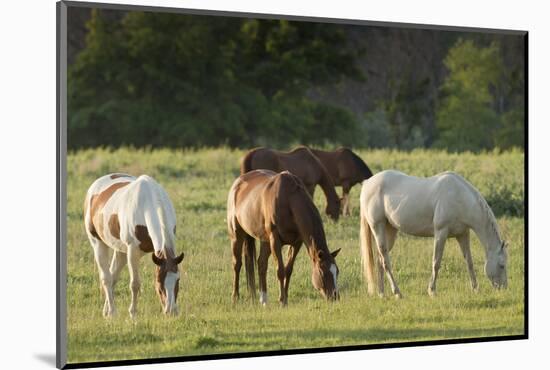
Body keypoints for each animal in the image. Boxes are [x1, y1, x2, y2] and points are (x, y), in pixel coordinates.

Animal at [83, 173, 184, 318]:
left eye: (178, 280)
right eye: (159, 283)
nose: (171, 311)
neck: (148, 203)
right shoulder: (133, 252)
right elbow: (135, 284)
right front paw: (133, 314)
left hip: (120, 251)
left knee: (113, 277)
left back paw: (106, 311)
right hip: (98, 243)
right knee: (106, 278)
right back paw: (112, 312)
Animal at [227, 169, 340, 304]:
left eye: (337, 272)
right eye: (322, 273)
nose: (335, 296)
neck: (289, 201)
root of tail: (237, 183)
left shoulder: (297, 243)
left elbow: (288, 270)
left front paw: (285, 298)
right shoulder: (275, 240)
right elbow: (280, 270)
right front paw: (282, 300)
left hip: (265, 241)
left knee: (261, 264)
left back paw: (263, 299)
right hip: (236, 235)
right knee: (237, 264)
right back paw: (235, 297)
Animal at [360, 171, 512, 298]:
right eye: (502, 265)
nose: (504, 288)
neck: (459, 197)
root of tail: (367, 183)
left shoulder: (463, 234)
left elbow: (469, 262)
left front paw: (475, 289)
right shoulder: (441, 232)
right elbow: (436, 262)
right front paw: (432, 291)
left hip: (390, 230)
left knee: (380, 260)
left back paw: (382, 293)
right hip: (378, 227)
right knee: (385, 261)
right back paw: (397, 293)